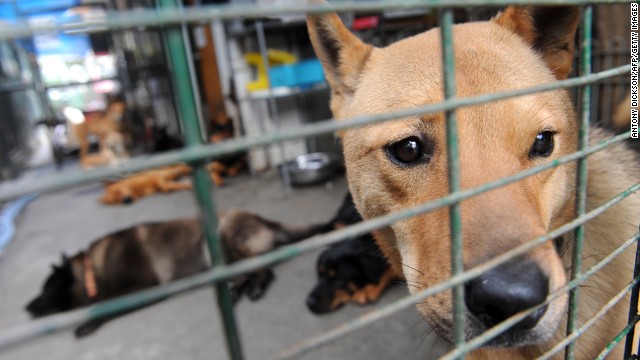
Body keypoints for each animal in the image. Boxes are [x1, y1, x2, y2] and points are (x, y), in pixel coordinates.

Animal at [25, 211, 324, 338]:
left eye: (47, 288)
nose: (26, 307)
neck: (91, 270)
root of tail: (262, 219)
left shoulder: (145, 286)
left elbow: (107, 303)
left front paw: (88, 322)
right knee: (243, 273)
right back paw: (232, 293)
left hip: (221, 238)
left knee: (263, 268)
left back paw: (255, 288)